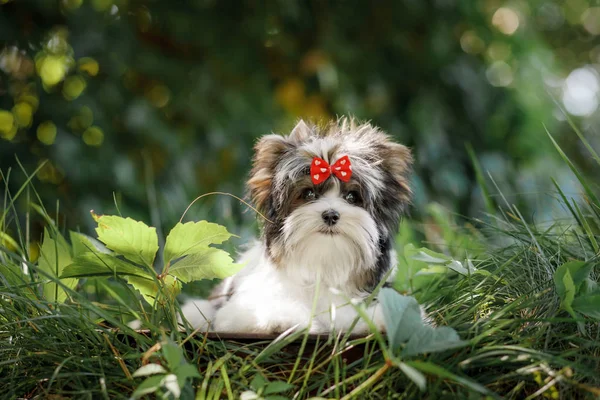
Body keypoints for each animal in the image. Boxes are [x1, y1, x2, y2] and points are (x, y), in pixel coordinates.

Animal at [183, 119, 412, 334]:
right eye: (308, 193)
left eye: (352, 197)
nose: (331, 215)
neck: (323, 263)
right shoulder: (238, 310)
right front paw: (281, 319)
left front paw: (383, 319)